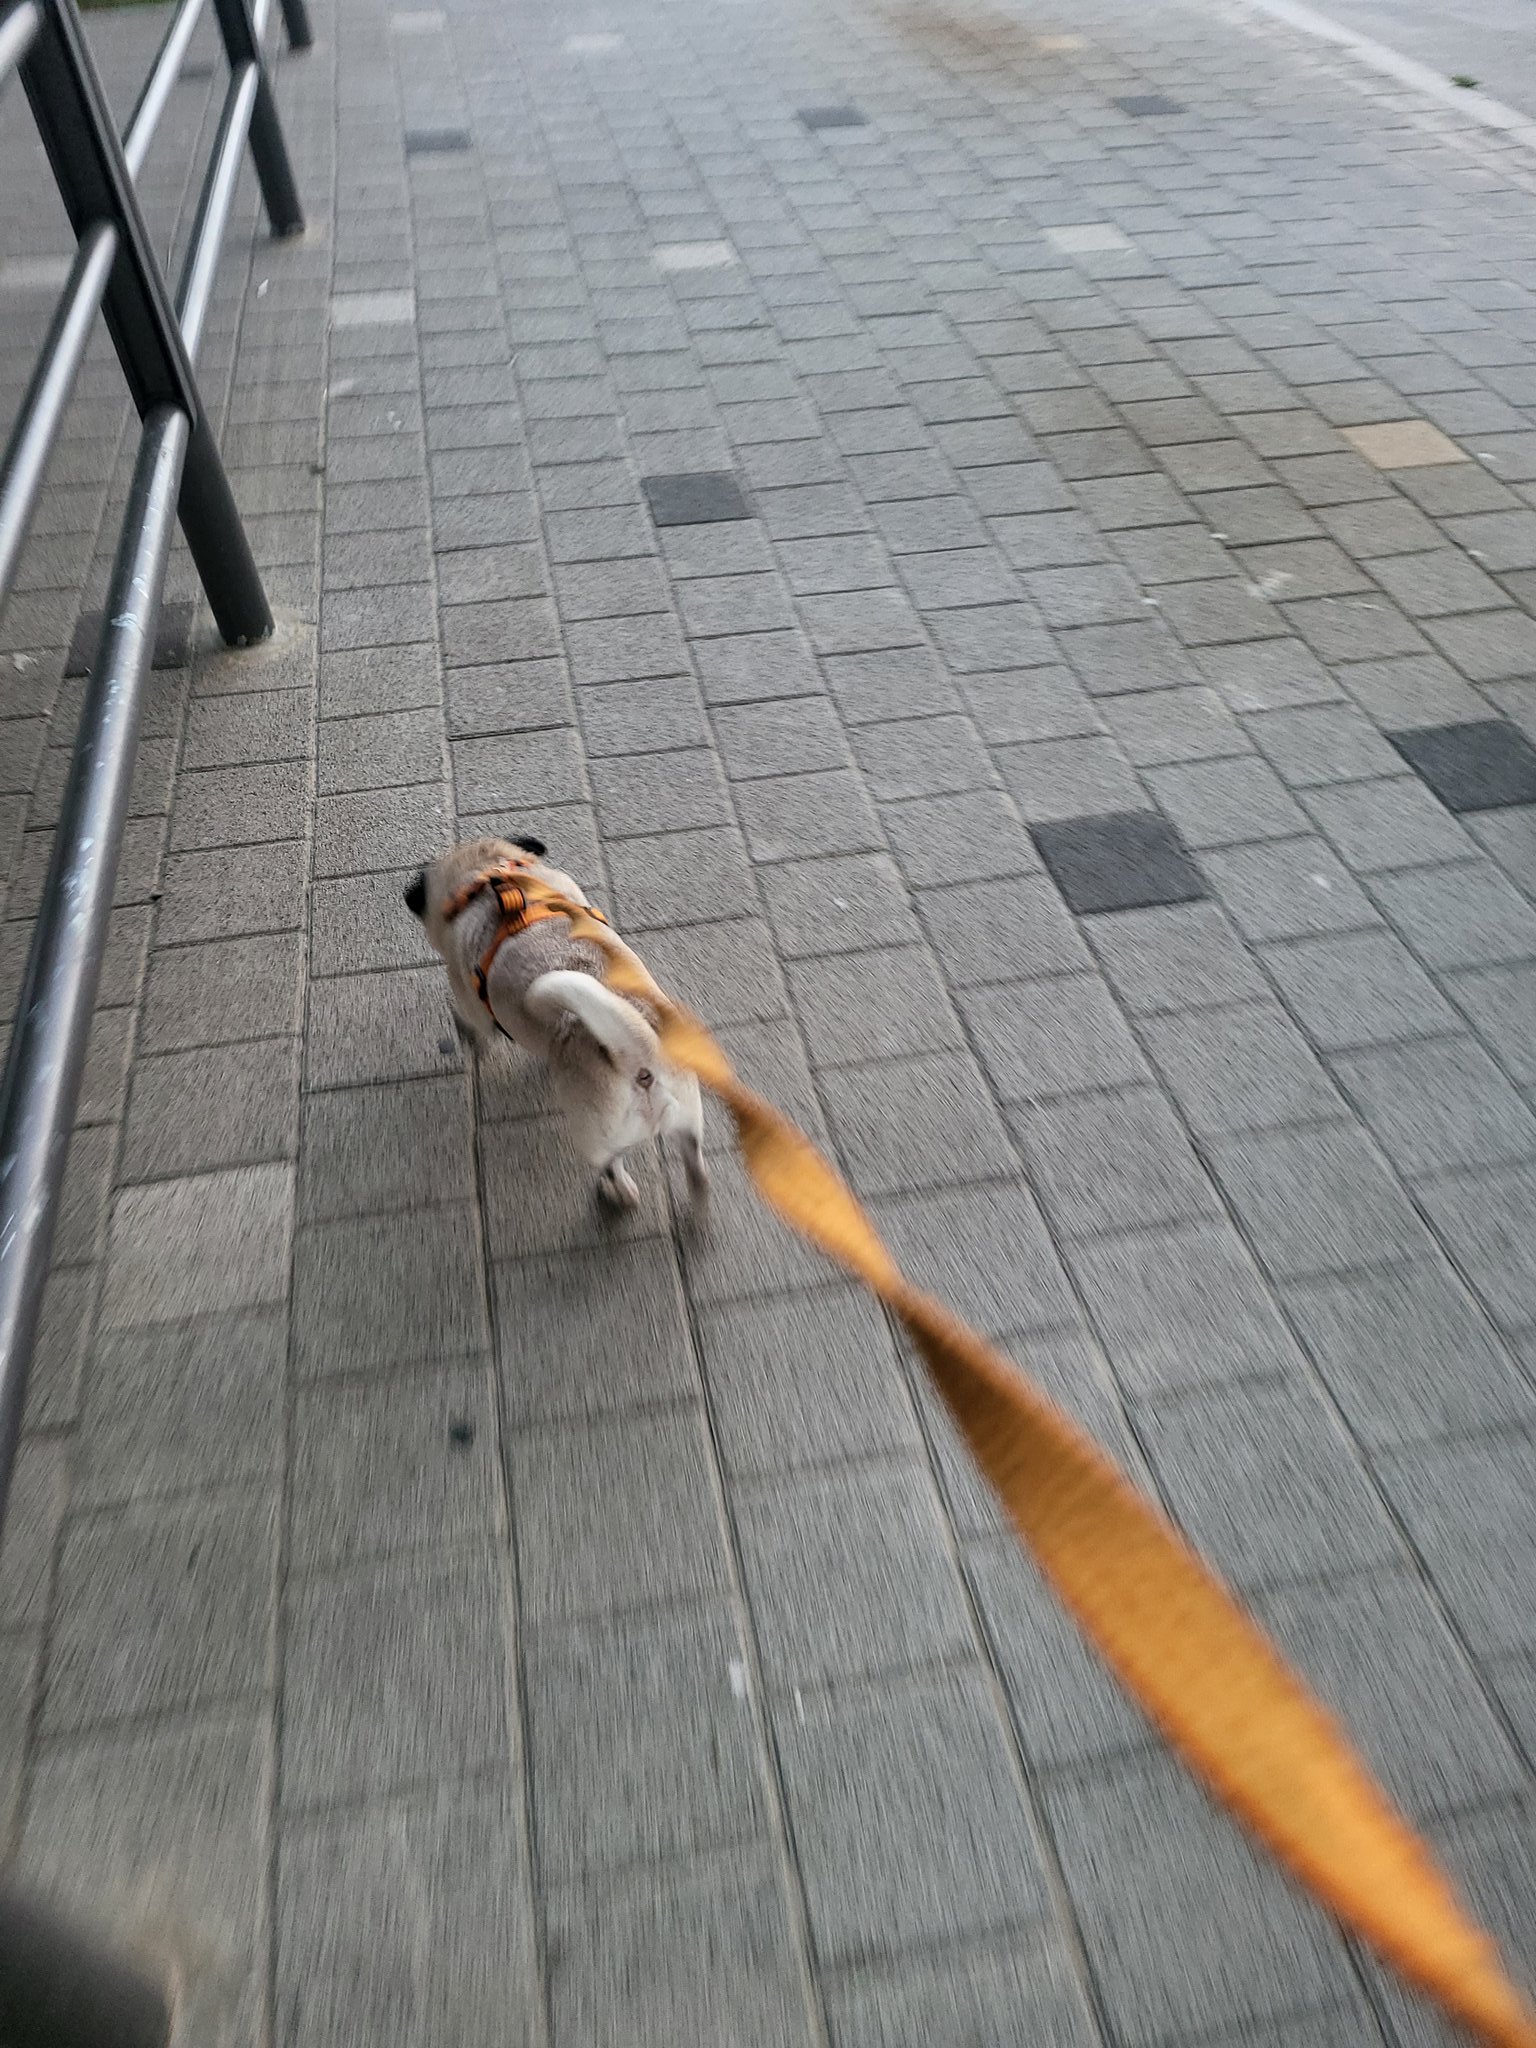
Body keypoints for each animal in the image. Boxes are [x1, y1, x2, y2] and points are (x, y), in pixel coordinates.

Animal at [406, 834, 708, 1212]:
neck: (487, 873)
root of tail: (637, 1060)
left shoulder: (469, 999)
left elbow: (476, 1027)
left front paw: (467, 1034)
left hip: (596, 1137)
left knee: (612, 1167)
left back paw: (615, 1193)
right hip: (688, 1118)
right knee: (697, 1169)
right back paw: (698, 1209)